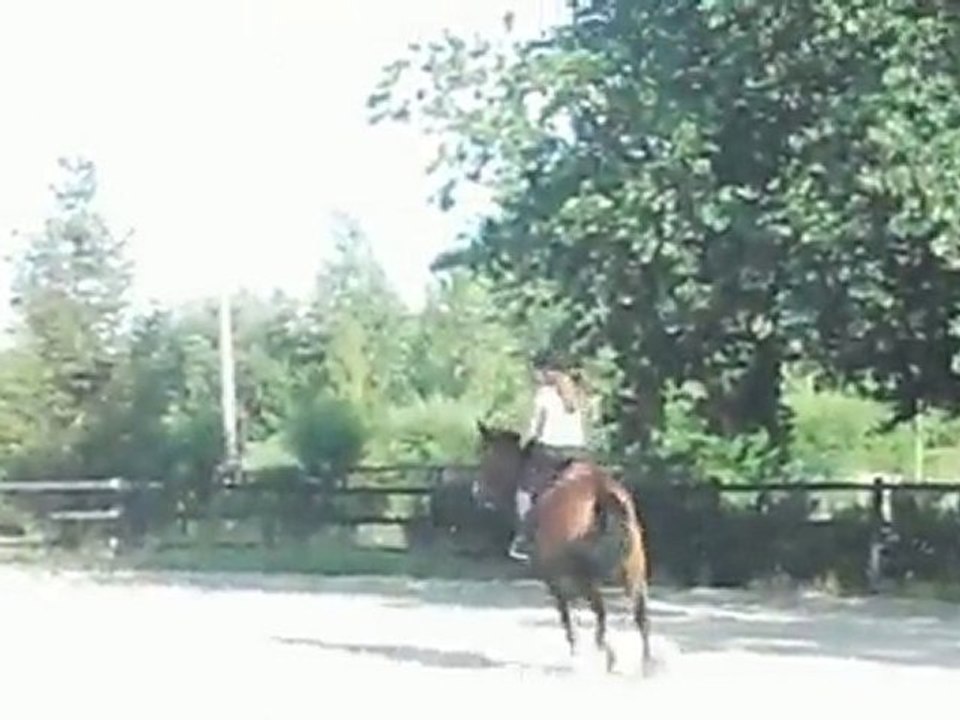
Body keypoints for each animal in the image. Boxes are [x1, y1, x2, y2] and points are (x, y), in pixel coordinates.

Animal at [472, 421, 653, 675]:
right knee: (640, 615)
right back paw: (646, 664)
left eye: (487, 458)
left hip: (584, 578)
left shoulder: (554, 578)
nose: (476, 491)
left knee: (601, 611)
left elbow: (566, 614)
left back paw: (607, 653)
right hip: (634, 572)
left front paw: (576, 649)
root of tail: (600, 490)